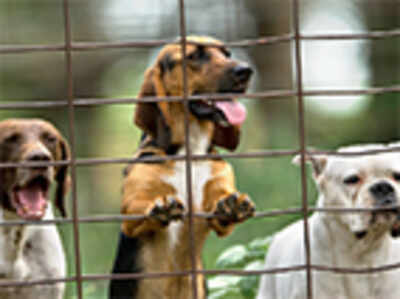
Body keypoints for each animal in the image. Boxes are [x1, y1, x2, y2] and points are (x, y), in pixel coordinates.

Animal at [108, 37, 255, 299]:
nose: (245, 71)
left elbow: (222, 203)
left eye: (227, 53)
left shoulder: (218, 207)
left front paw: (233, 204)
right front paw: (161, 207)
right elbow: (142, 206)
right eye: (194, 56)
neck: (190, 151)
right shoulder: (131, 214)